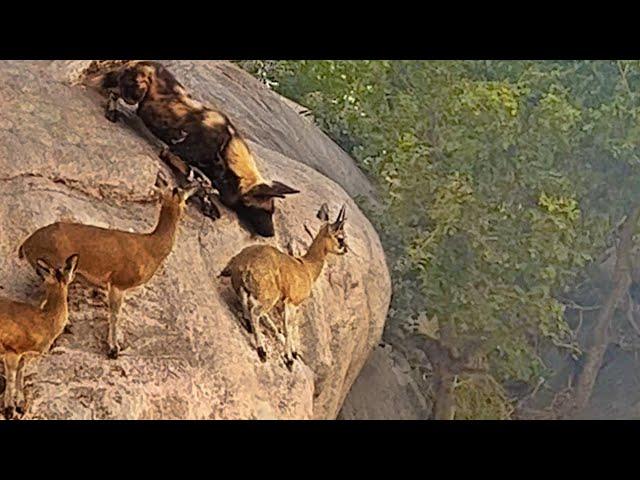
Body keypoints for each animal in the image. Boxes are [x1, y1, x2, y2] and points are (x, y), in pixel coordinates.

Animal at [0, 253, 78, 418]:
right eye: (68, 270)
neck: (44, 321)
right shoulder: (12, 349)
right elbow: (11, 376)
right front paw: (9, 409)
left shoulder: (24, 355)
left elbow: (20, 374)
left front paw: (20, 405)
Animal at [97, 62, 300, 238]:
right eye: (263, 210)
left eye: (272, 211)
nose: (271, 234)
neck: (225, 149)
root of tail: (143, 62)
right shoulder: (173, 152)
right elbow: (203, 182)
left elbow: (203, 185)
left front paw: (208, 205)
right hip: (135, 94)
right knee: (113, 91)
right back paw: (112, 111)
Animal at [221, 204, 350, 370]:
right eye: (340, 237)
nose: (345, 249)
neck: (306, 267)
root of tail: (245, 263)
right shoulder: (291, 303)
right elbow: (288, 327)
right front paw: (289, 359)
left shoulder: (286, 304)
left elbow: (290, 326)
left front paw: (293, 353)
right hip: (269, 297)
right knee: (256, 312)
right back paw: (262, 351)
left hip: (244, 289)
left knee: (246, 304)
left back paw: (248, 325)